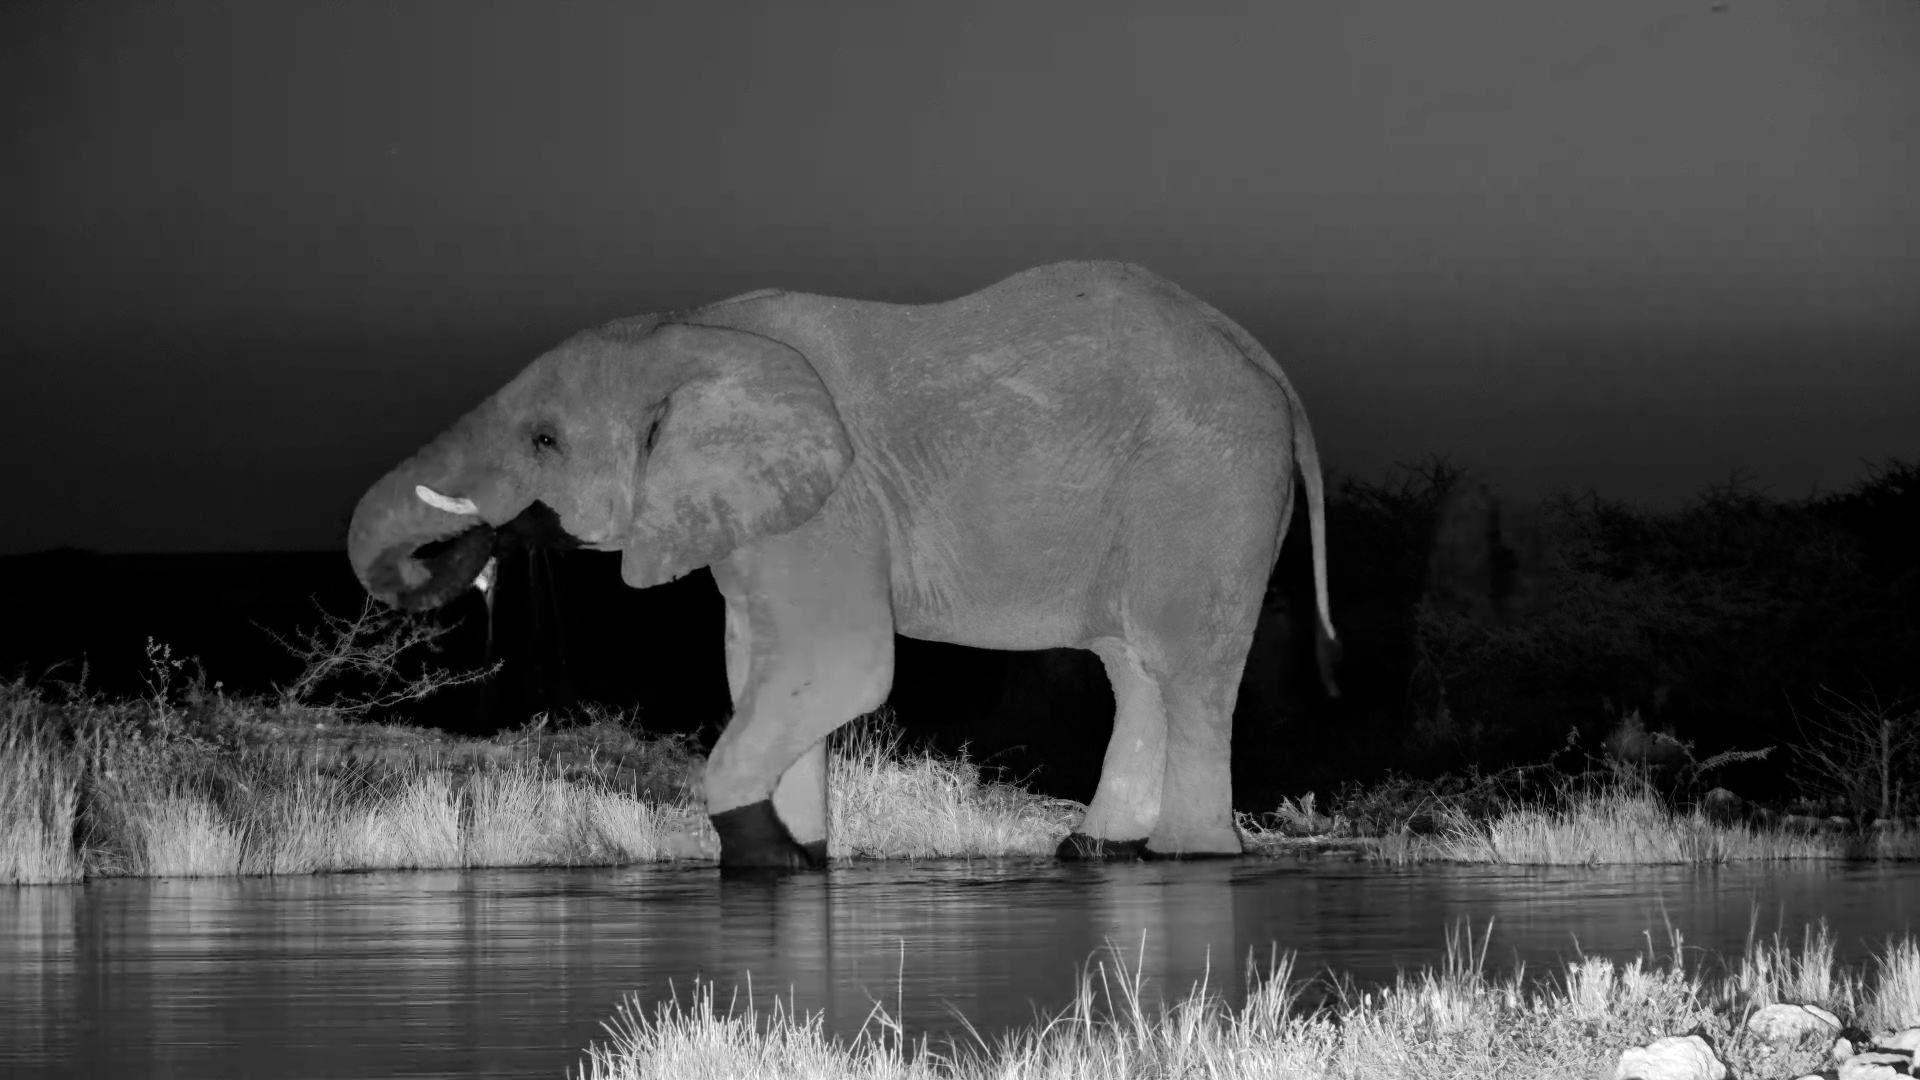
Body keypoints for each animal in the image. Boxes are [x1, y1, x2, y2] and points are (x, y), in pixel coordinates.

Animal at [346, 260, 1338, 869]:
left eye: (544, 441)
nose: (486, 547)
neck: (691, 333)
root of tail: (1264, 362)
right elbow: (759, 673)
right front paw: (800, 861)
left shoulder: (835, 504)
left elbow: (839, 669)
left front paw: (764, 854)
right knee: (1134, 667)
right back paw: (1091, 851)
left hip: (1211, 484)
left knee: (1187, 669)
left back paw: (1191, 856)